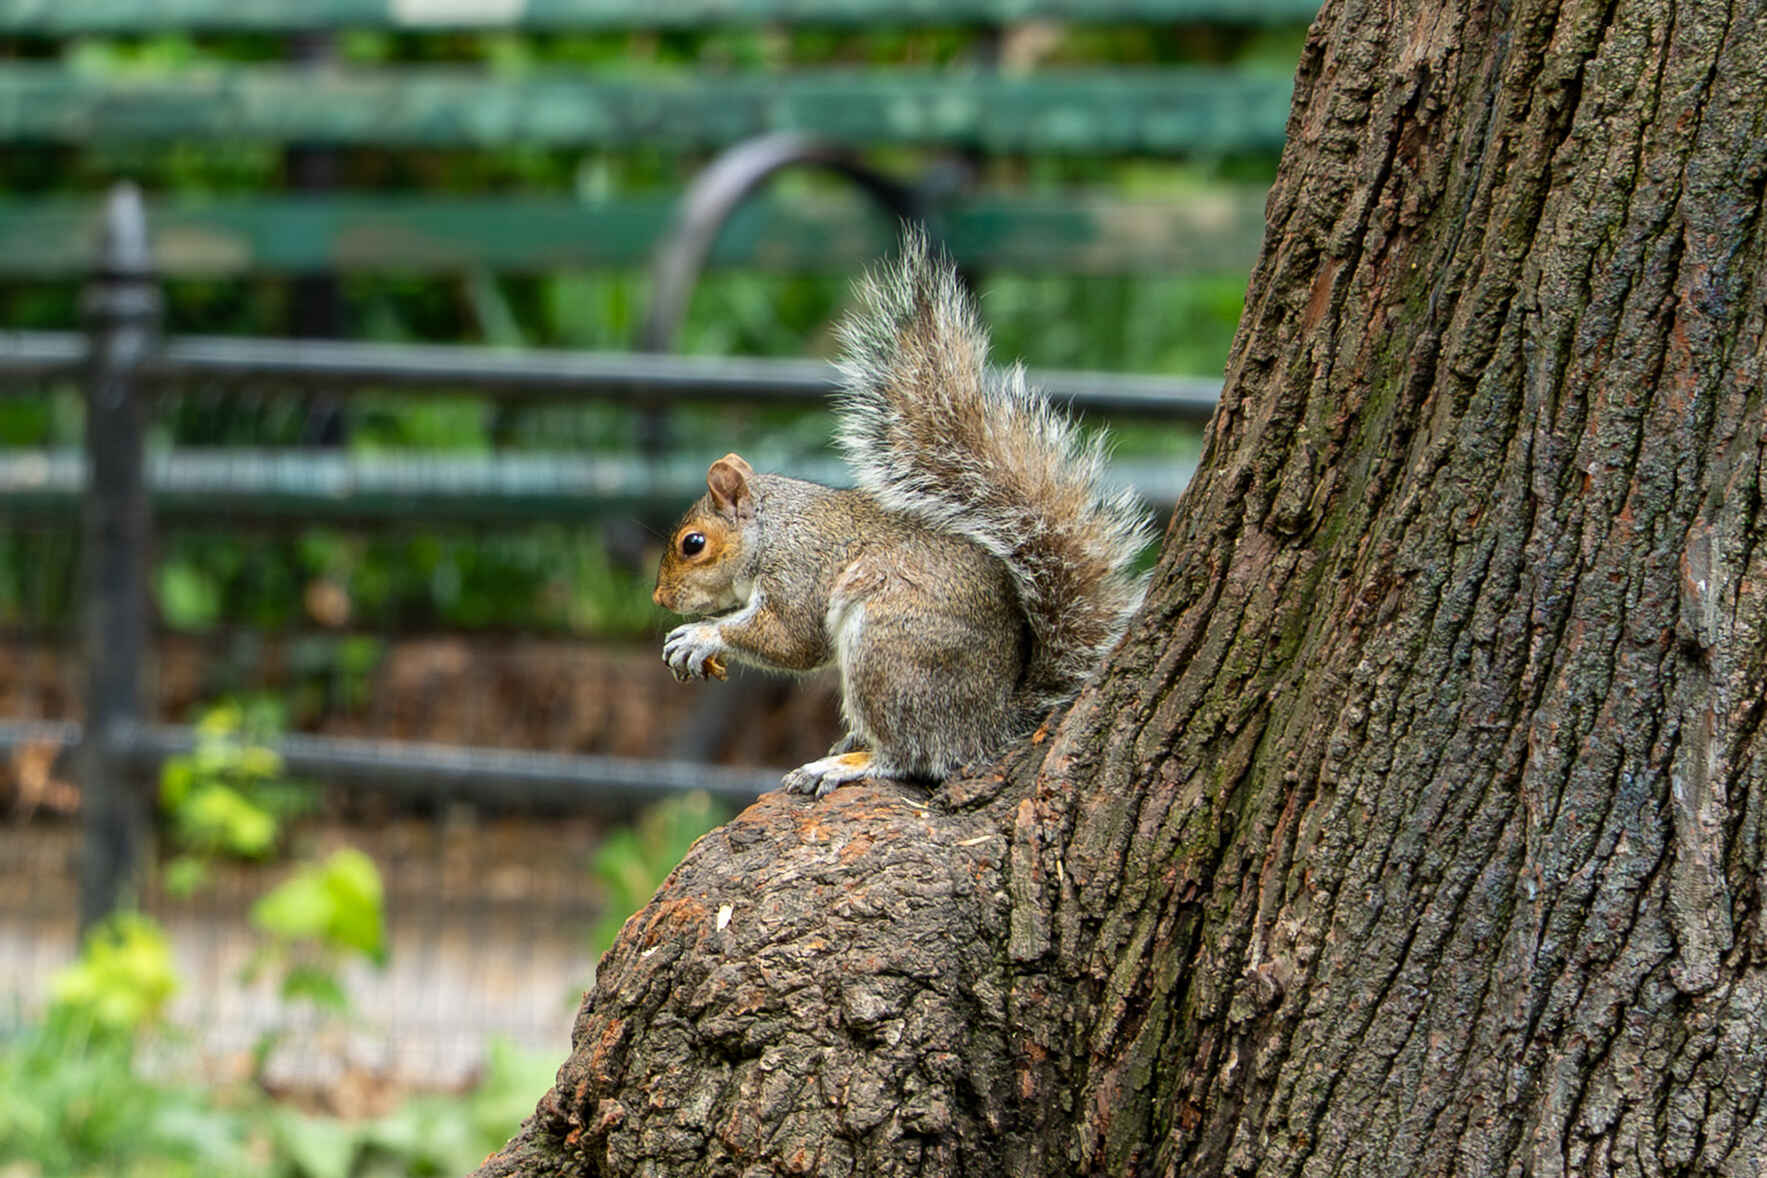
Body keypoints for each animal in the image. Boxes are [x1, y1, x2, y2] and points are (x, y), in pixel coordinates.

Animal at [652, 232, 1151, 798]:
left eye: (694, 543)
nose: (660, 597)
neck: (773, 529)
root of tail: (990, 722)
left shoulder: (798, 573)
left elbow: (792, 640)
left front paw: (700, 635)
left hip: (890, 649)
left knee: (911, 754)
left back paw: (846, 764)